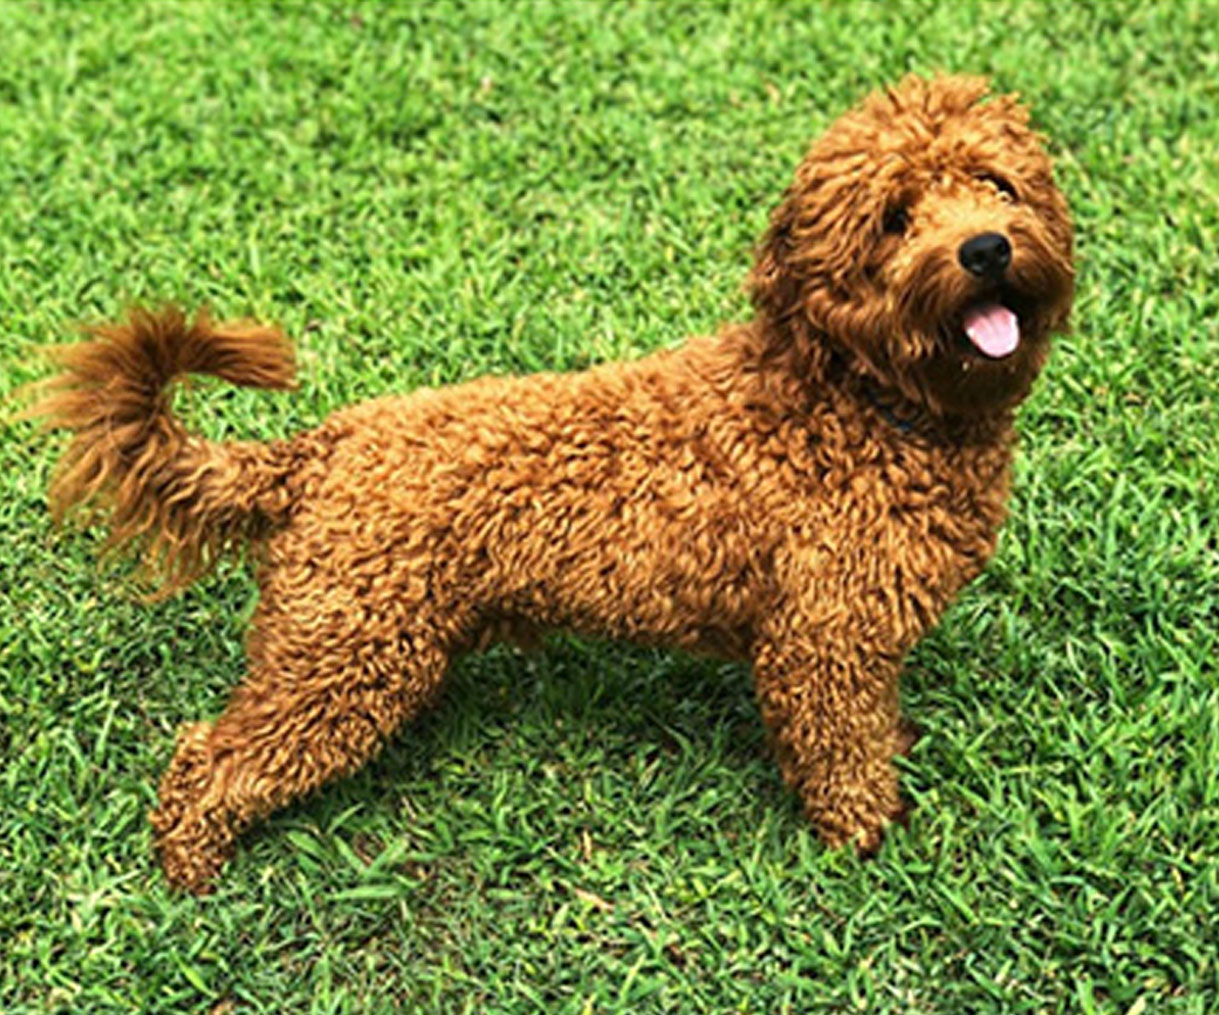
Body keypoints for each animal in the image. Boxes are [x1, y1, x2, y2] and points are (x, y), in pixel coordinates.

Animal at [33, 75, 1072, 891]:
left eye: (995, 184)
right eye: (894, 219)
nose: (985, 247)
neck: (860, 398)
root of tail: (317, 448)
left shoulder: (862, 639)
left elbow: (872, 724)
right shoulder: (822, 642)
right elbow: (838, 753)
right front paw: (866, 838)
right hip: (344, 657)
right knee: (210, 757)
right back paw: (191, 865)